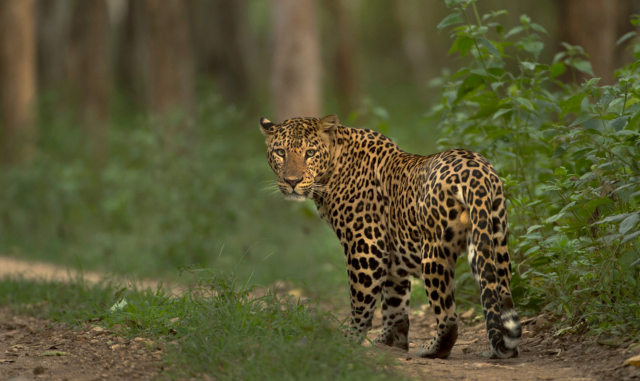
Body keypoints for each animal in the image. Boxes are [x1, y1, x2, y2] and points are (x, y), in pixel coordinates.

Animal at [258, 114, 520, 358]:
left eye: (310, 153)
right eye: (280, 152)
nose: (292, 181)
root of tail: (477, 173)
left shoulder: (366, 246)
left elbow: (361, 299)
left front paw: (349, 340)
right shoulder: (394, 255)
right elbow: (395, 302)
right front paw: (391, 342)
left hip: (434, 252)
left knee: (449, 317)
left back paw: (433, 349)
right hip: (493, 240)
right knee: (500, 294)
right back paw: (502, 348)